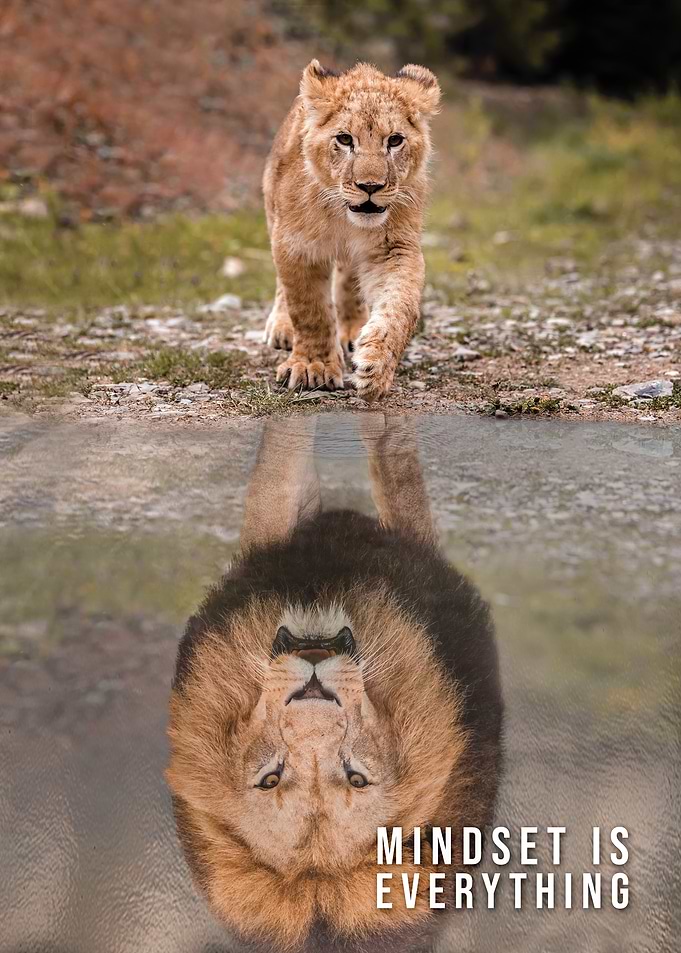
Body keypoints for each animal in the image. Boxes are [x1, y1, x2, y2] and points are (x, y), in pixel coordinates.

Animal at [261, 61, 441, 399]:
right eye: (345, 140)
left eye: (394, 140)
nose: (370, 187)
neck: (343, 218)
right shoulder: (296, 245)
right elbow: (309, 310)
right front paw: (313, 367)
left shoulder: (394, 247)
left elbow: (401, 306)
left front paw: (376, 367)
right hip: (272, 212)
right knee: (283, 286)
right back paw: (282, 328)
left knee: (350, 282)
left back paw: (353, 332)